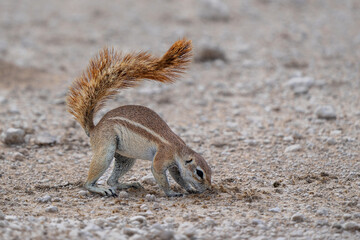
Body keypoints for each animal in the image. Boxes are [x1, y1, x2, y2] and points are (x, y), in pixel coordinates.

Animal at [67, 39, 211, 197]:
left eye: (210, 170)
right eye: (199, 172)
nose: (209, 188)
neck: (178, 149)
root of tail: (94, 129)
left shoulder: (174, 166)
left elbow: (178, 177)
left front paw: (189, 188)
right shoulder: (162, 156)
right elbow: (158, 173)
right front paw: (171, 193)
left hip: (126, 158)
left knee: (112, 180)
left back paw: (129, 184)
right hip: (106, 149)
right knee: (89, 182)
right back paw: (100, 189)